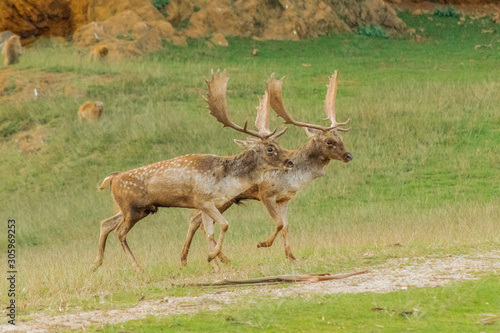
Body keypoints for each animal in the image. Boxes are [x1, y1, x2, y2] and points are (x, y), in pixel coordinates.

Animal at [94, 68, 292, 272]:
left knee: (106, 223)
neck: (225, 179)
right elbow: (224, 225)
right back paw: (137, 268)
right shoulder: (204, 200)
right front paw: (212, 257)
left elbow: (210, 232)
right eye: (270, 149)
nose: (290, 161)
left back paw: (97, 263)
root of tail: (112, 179)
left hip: (133, 209)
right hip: (132, 209)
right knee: (119, 232)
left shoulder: (208, 205)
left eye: (278, 144)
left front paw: (214, 264)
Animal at [181, 70, 352, 264]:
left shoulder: (285, 199)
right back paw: (215, 258)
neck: (294, 179)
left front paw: (291, 256)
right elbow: (278, 223)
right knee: (197, 220)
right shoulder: (266, 194)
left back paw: (195, 258)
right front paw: (262, 244)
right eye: (329, 141)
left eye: (341, 139)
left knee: (197, 220)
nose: (349, 156)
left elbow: (286, 225)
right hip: (220, 198)